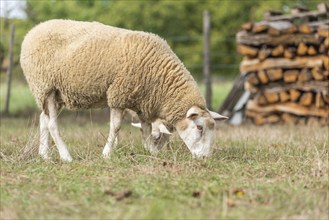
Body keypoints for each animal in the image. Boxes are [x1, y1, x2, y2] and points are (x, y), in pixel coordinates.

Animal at [19, 19, 226, 162]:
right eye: (199, 127)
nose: (205, 158)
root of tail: (32, 31)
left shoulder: (143, 103)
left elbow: (146, 130)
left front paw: (151, 152)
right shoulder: (119, 95)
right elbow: (116, 127)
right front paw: (106, 154)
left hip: (56, 93)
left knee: (43, 119)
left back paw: (45, 155)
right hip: (45, 86)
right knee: (52, 124)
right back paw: (66, 156)